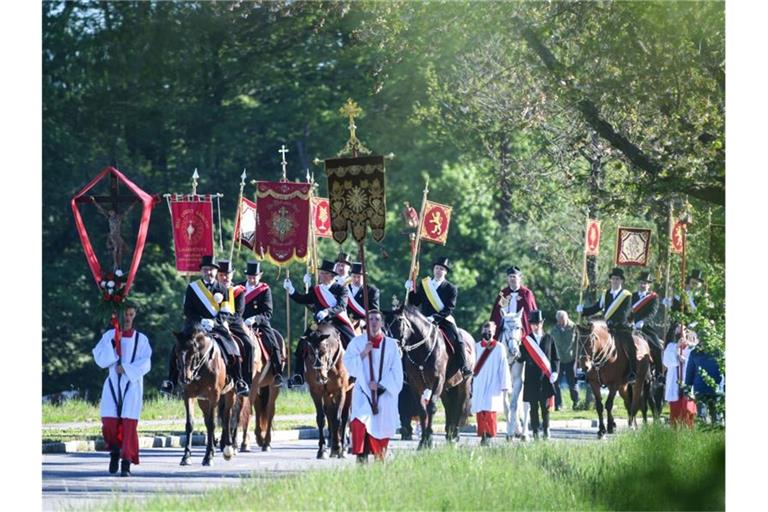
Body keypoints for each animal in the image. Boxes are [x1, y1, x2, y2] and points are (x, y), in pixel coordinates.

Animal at [174, 326, 237, 466]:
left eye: (193, 353)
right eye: (177, 352)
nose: (184, 379)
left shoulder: (214, 396)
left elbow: (212, 424)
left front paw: (208, 457)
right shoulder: (189, 396)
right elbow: (190, 424)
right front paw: (186, 456)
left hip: (230, 394)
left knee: (227, 417)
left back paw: (228, 448)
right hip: (203, 401)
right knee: (209, 420)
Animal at [300, 324, 352, 460]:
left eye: (323, 351)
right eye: (310, 353)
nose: (320, 377)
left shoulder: (341, 391)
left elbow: (338, 419)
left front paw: (339, 448)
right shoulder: (316, 392)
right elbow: (321, 419)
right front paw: (322, 450)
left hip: (350, 392)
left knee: (345, 417)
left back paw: (343, 447)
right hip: (327, 395)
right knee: (329, 416)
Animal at [384, 304, 474, 448]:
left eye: (399, 321)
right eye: (386, 325)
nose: (394, 347)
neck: (423, 348)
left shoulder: (438, 381)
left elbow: (431, 407)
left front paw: (429, 439)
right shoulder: (416, 384)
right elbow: (422, 410)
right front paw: (423, 441)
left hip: (463, 384)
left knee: (460, 405)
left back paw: (455, 435)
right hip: (446, 388)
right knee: (449, 406)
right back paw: (449, 433)